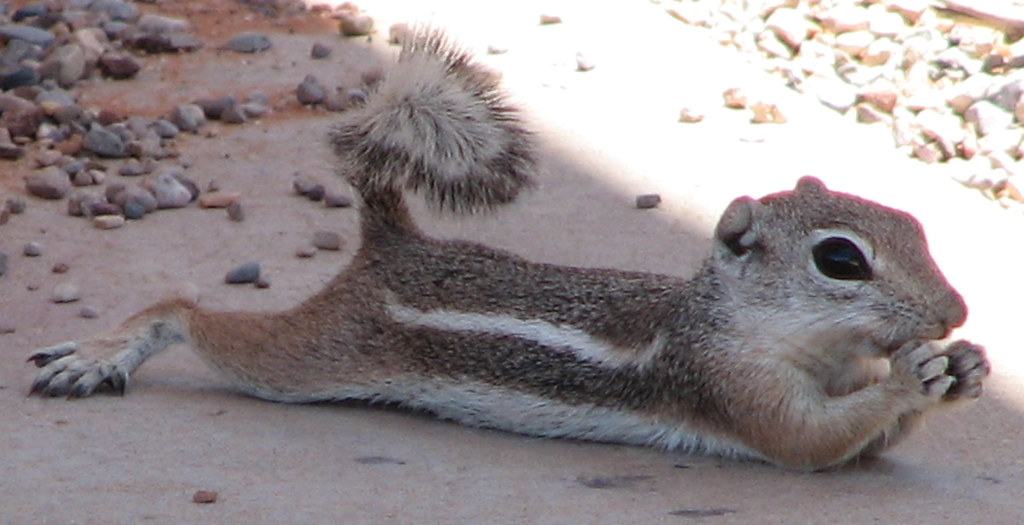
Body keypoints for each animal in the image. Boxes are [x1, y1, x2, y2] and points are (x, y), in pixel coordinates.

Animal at [27, 29, 989, 471]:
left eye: (916, 227)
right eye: (841, 260)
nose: (955, 311)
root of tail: (393, 241)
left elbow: (864, 445)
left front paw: (968, 368)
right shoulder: (735, 387)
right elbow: (809, 439)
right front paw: (915, 374)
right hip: (307, 358)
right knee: (191, 315)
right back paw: (103, 352)